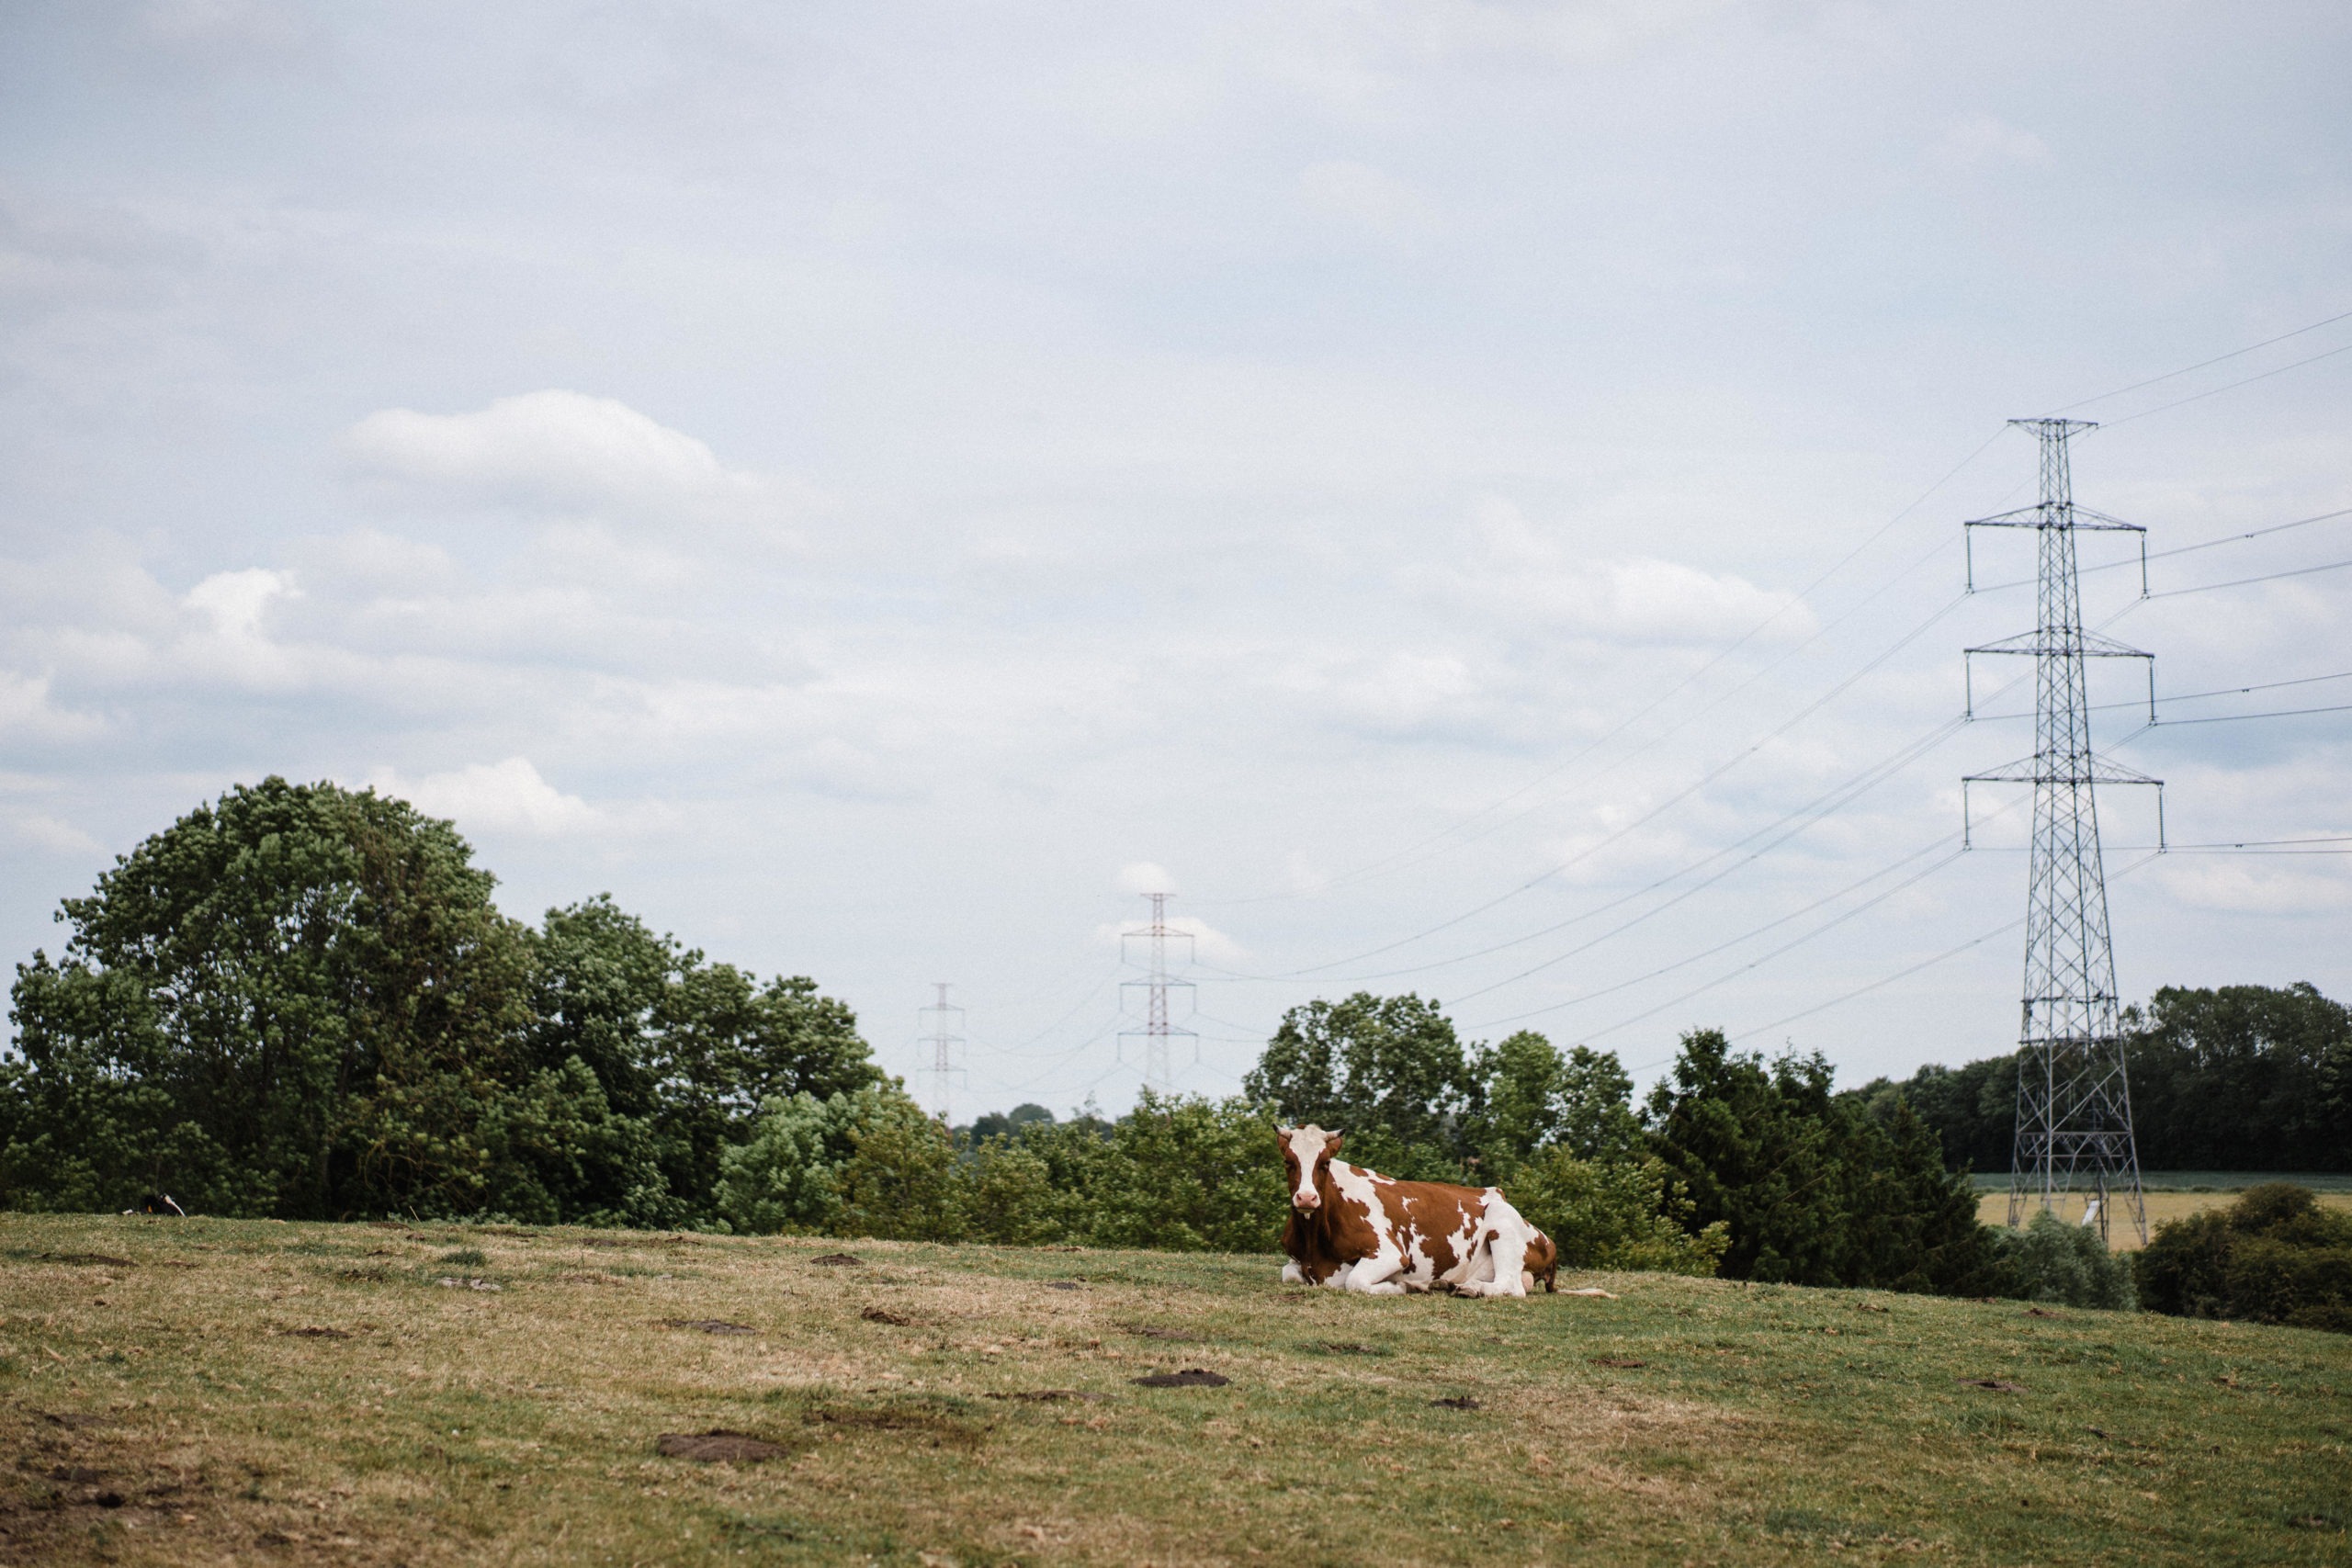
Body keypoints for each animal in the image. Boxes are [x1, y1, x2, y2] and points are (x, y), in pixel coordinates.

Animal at [1279, 1128, 1552, 1297]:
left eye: (1324, 1163)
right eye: (1288, 1162)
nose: (1306, 1197)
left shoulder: (1390, 1253)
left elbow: (1354, 1281)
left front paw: (1402, 1287)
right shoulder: (1295, 1258)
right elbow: (1289, 1275)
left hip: (1501, 1217)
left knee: (1512, 1285)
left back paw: (1470, 1288)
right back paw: (1447, 1283)